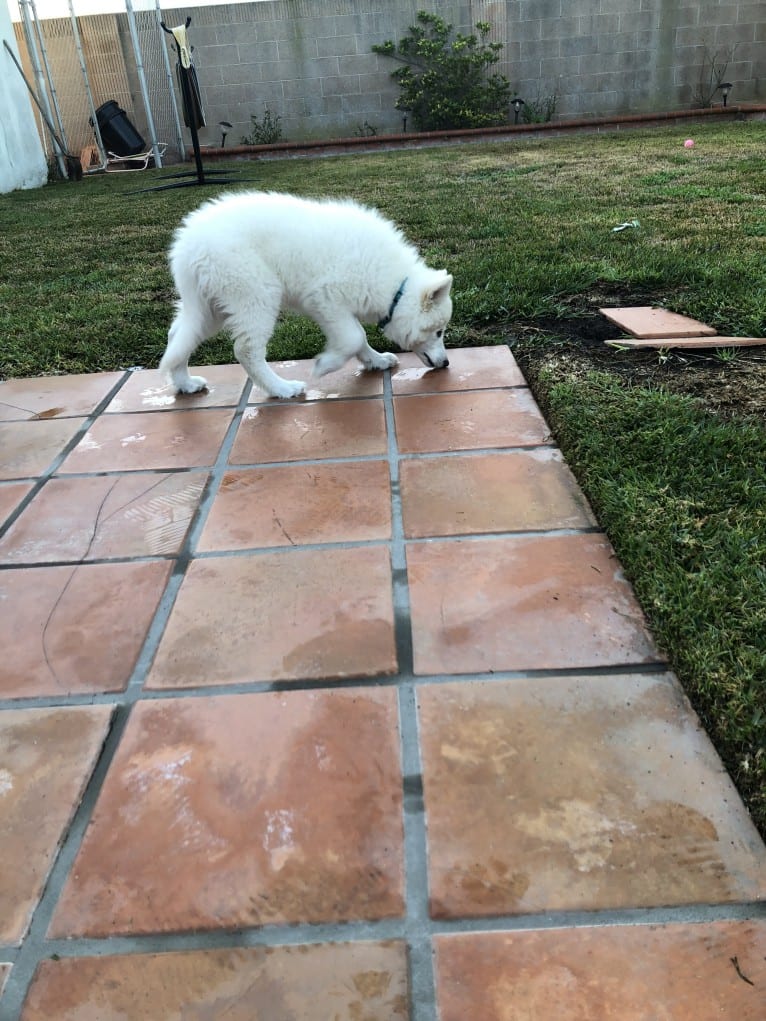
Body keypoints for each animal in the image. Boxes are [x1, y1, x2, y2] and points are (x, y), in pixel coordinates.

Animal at [159, 191, 453, 398]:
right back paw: (282, 389)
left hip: (210, 308)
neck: (395, 286)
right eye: (439, 332)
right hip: (257, 295)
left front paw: (376, 360)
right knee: (246, 350)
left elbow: (358, 339)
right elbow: (354, 337)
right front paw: (324, 365)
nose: (446, 363)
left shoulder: (333, 309)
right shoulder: (327, 298)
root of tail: (187, 245)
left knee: (178, 336)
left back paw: (185, 384)